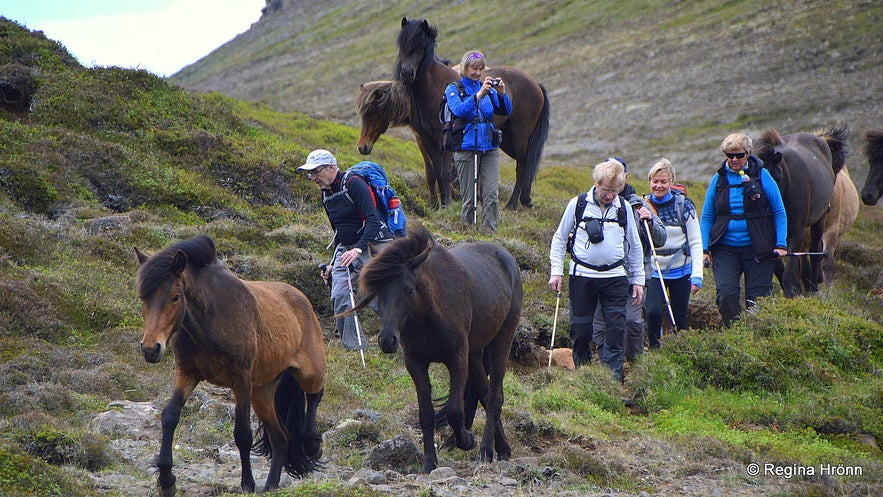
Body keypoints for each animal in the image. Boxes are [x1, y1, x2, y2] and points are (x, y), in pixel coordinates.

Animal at [136, 234, 330, 494]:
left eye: (175, 296)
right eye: (143, 297)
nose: (150, 348)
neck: (211, 321)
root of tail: (302, 298)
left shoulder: (241, 381)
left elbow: (243, 434)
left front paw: (247, 483)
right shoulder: (187, 373)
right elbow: (170, 416)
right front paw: (167, 480)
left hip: (309, 371)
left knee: (315, 394)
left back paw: (312, 444)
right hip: (263, 392)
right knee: (282, 437)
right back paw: (271, 485)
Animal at [350, 223, 520, 470]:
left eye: (409, 290)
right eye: (377, 291)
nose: (387, 340)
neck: (427, 315)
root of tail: (507, 259)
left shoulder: (457, 358)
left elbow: (455, 410)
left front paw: (467, 440)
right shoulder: (416, 363)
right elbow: (426, 413)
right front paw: (429, 462)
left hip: (502, 339)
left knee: (494, 396)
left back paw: (486, 450)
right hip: (475, 354)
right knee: (485, 393)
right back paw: (503, 448)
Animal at [376, 16, 548, 208]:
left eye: (421, 47)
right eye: (402, 45)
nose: (406, 74)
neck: (434, 87)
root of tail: (536, 84)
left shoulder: (443, 139)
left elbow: (444, 173)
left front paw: (447, 204)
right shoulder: (427, 139)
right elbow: (436, 172)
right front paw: (440, 205)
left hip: (520, 137)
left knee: (522, 166)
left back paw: (511, 204)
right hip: (506, 139)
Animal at [752, 126, 844, 296]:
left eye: (776, 178)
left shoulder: (796, 232)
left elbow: (790, 265)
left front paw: (791, 292)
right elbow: (780, 266)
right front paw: (793, 289)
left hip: (819, 221)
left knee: (814, 251)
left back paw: (813, 287)